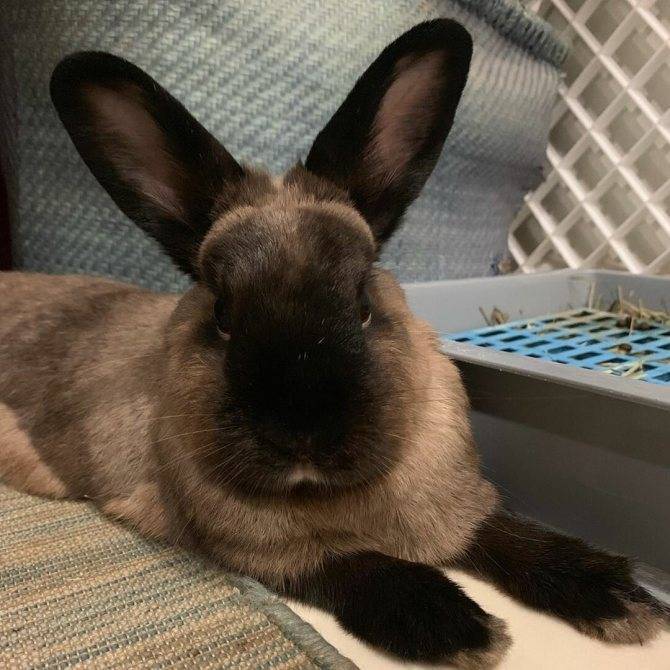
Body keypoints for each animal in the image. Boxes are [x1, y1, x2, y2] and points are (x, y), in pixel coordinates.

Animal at [0, 19, 667, 668]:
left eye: (363, 300)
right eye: (222, 312)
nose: (302, 430)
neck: (335, 493)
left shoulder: (458, 509)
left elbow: (510, 533)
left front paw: (624, 600)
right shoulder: (267, 553)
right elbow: (363, 569)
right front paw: (459, 627)